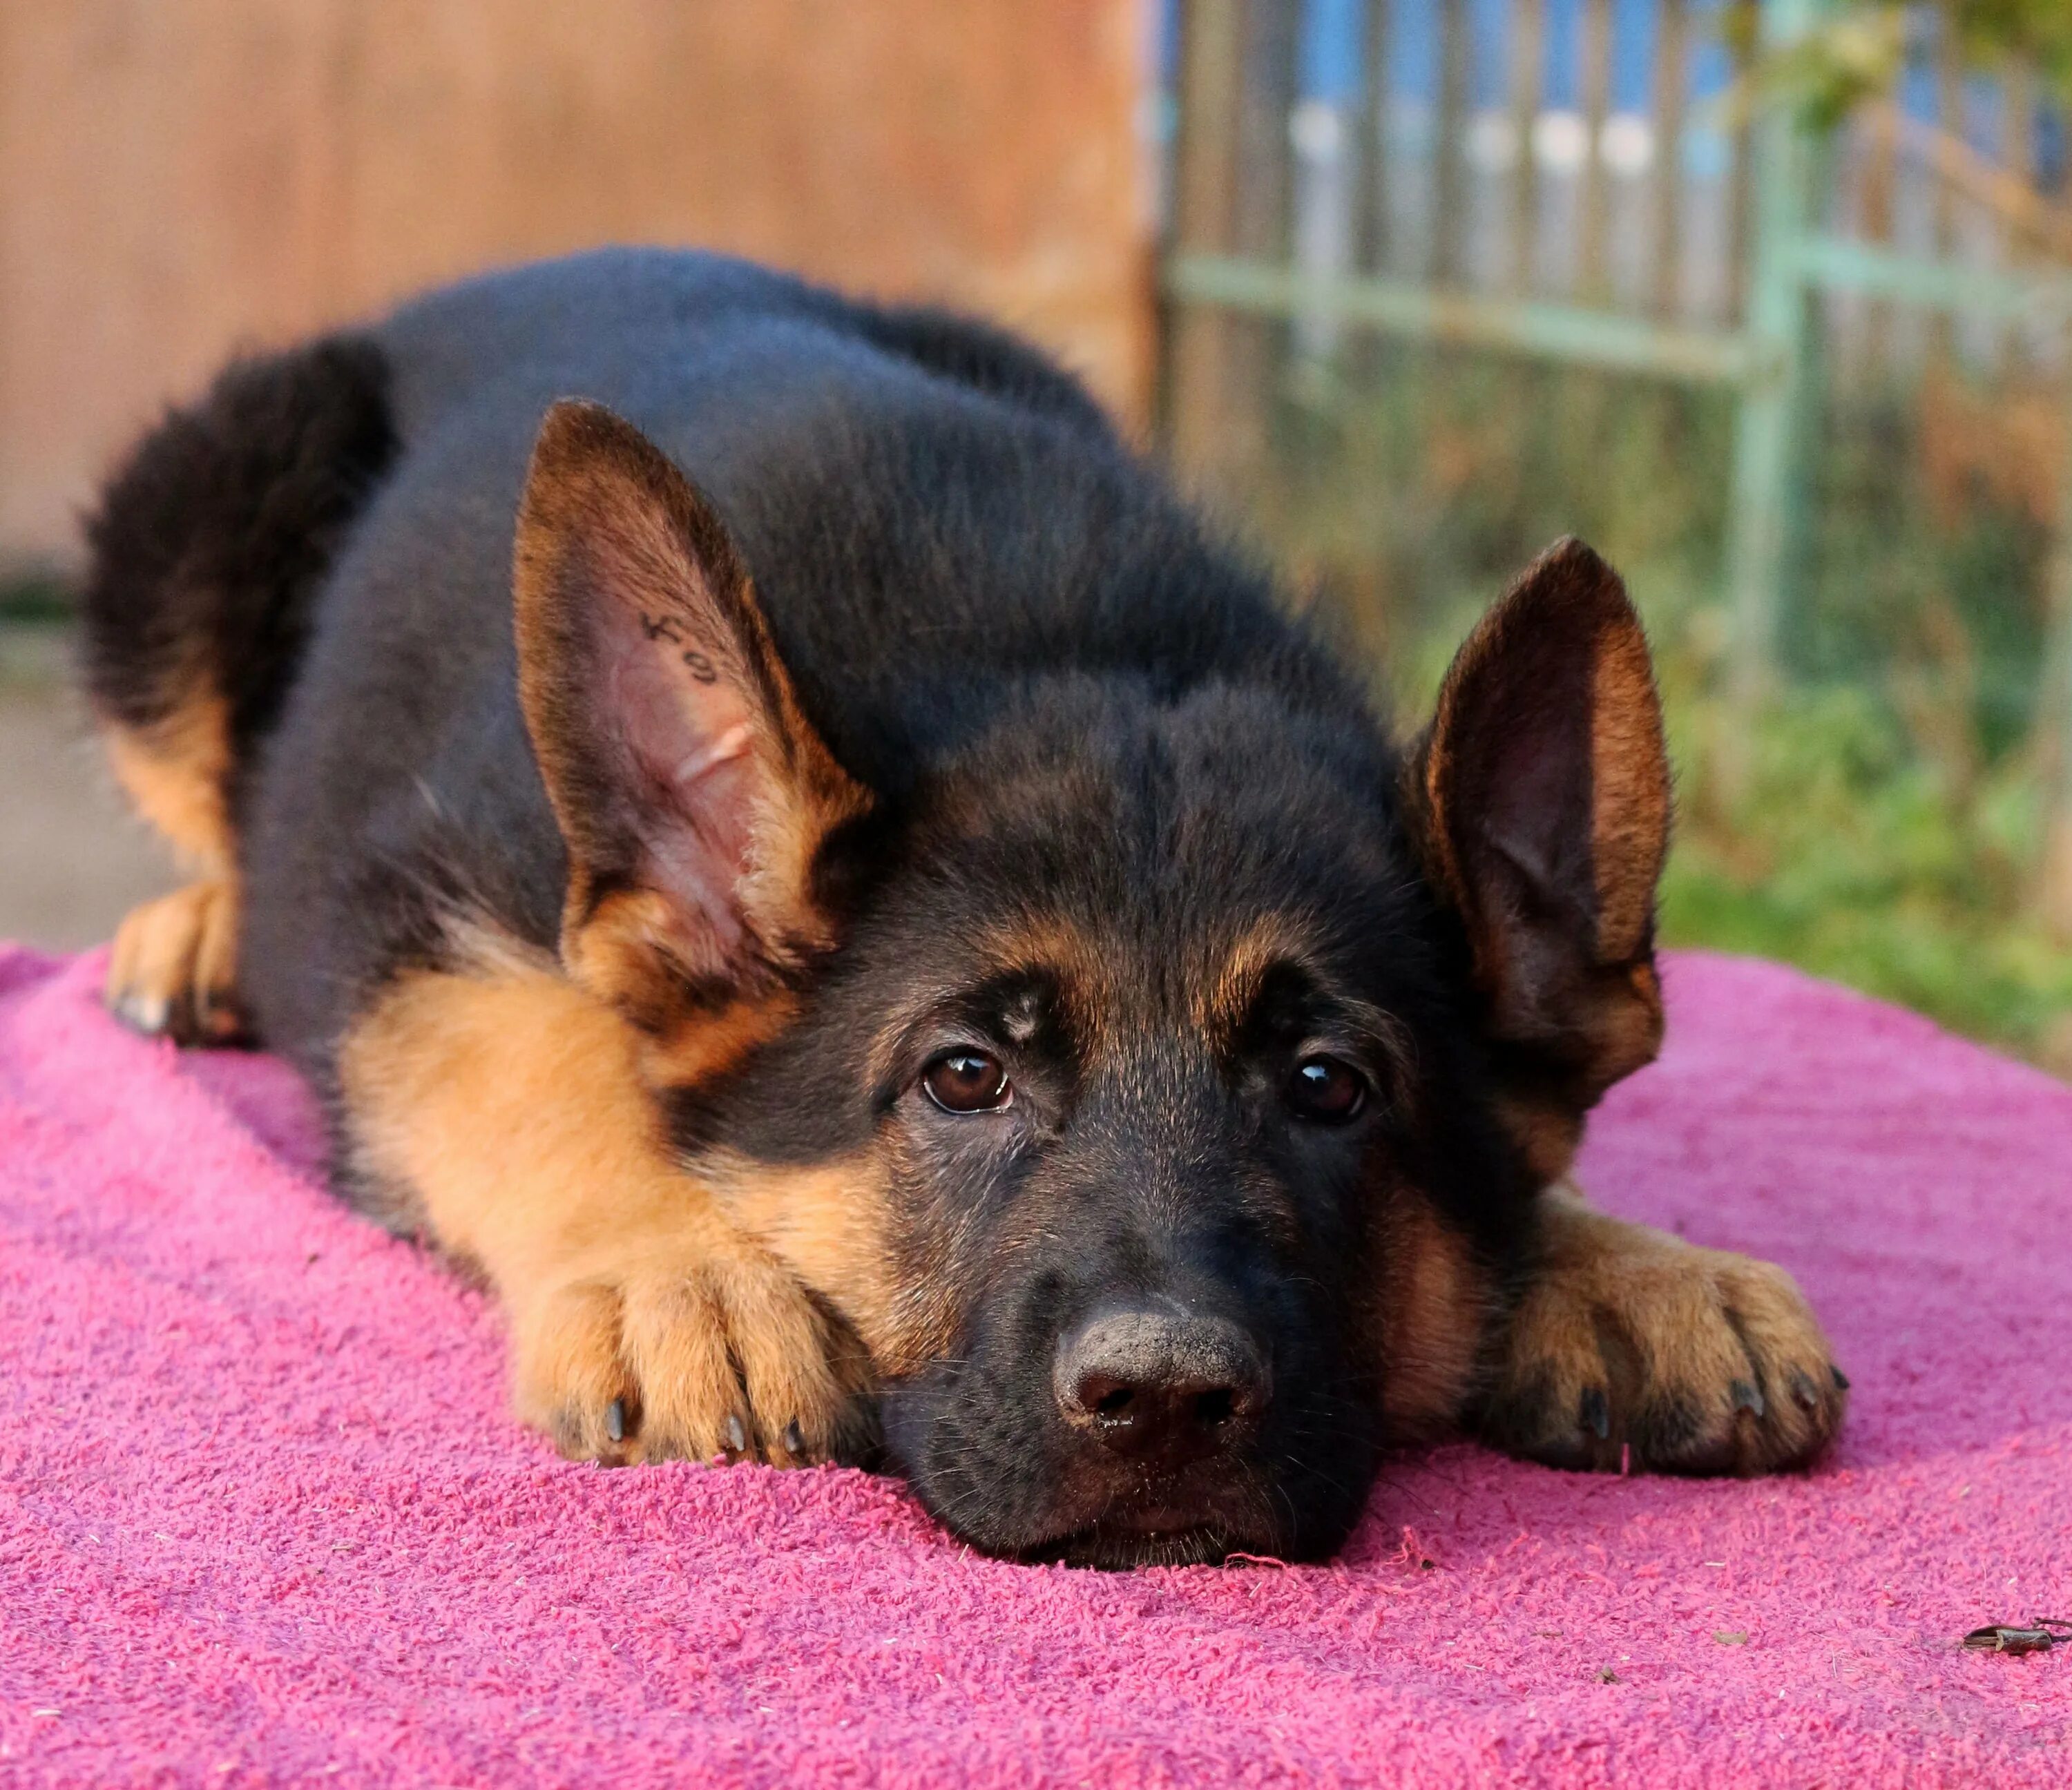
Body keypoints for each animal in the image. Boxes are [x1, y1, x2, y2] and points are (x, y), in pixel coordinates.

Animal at [77, 249, 1848, 1566]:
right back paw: (195, 932)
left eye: (1329, 1086)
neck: (1060, 638)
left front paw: (1626, 1265)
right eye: (962, 1077)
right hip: (201, 518)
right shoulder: (409, 919)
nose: (1164, 1405)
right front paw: (683, 1275)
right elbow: (550, 1053)